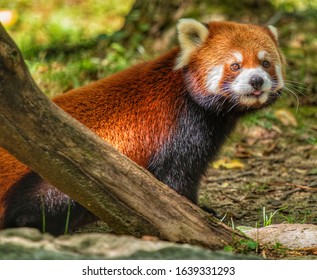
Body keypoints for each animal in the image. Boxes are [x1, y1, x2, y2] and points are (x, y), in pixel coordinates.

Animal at [0, 19, 284, 234]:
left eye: (265, 63)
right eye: (235, 65)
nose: (257, 80)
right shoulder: (178, 128)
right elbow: (176, 178)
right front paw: (199, 211)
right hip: (57, 172)